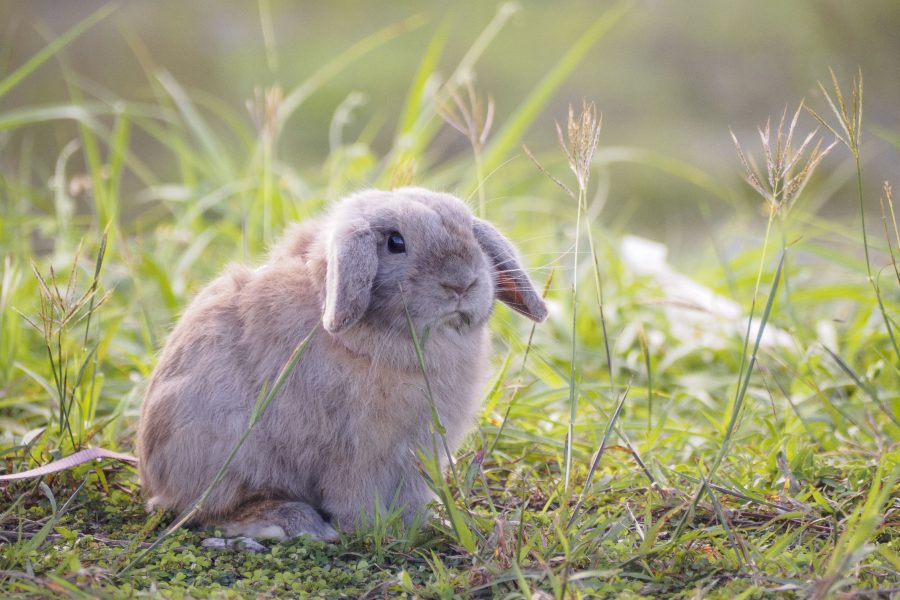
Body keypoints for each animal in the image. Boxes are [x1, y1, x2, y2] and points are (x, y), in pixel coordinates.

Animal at [138, 186, 548, 540]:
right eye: (395, 242)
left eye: (471, 235)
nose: (462, 283)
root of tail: (154, 480)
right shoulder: (353, 451)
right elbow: (353, 494)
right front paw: (367, 528)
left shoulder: (418, 454)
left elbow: (412, 495)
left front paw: (420, 524)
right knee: (209, 510)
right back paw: (294, 523)